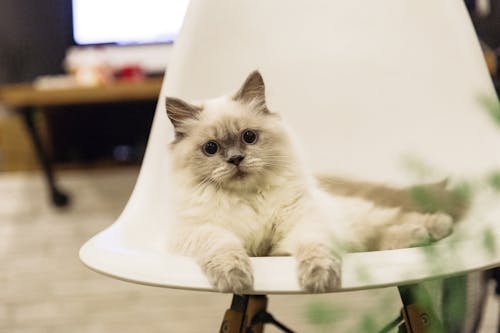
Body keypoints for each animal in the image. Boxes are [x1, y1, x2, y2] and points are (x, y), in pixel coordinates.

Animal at [166, 71, 456, 292]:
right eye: (211, 148)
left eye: (249, 136)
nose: (236, 159)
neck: (249, 198)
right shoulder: (199, 231)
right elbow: (225, 248)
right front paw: (236, 279)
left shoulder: (304, 223)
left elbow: (315, 250)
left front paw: (318, 279)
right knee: (375, 240)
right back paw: (419, 236)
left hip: (360, 217)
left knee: (394, 219)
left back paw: (438, 226)